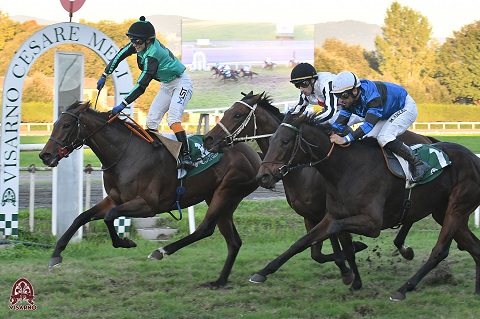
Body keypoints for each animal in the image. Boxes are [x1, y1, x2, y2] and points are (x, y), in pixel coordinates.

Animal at [38, 102, 262, 288]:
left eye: (66, 125)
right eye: (55, 123)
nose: (45, 155)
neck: (125, 154)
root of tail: (255, 155)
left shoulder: (148, 205)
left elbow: (110, 217)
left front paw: (124, 242)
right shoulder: (115, 199)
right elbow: (81, 217)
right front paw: (56, 254)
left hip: (227, 191)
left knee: (205, 229)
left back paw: (161, 251)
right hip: (218, 198)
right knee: (233, 241)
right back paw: (220, 281)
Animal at [202, 92, 438, 290]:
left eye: (237, 114)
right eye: (227, 111)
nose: (208, 139)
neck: (303, 169)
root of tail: (426, 138)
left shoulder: (327, 211)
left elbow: (335, 244)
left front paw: (348, 267)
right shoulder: (310, 215)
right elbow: (315, 250)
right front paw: (349, 265)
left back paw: (403, 248)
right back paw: (404, 248)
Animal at [251, 111, 480, 302]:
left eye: (285, 141)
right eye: (271, 139)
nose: (262, 176)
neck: (345, 169)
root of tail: (473, 158)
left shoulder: (372, 223)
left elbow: (337, 234)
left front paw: (351, 267)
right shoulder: (332, 214)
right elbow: (301, 242)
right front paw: (262, 272)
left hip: (457, 207)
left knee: (439, 251)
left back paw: (402, 289)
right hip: (444, 212)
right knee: (474, 247)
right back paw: (476, 290)